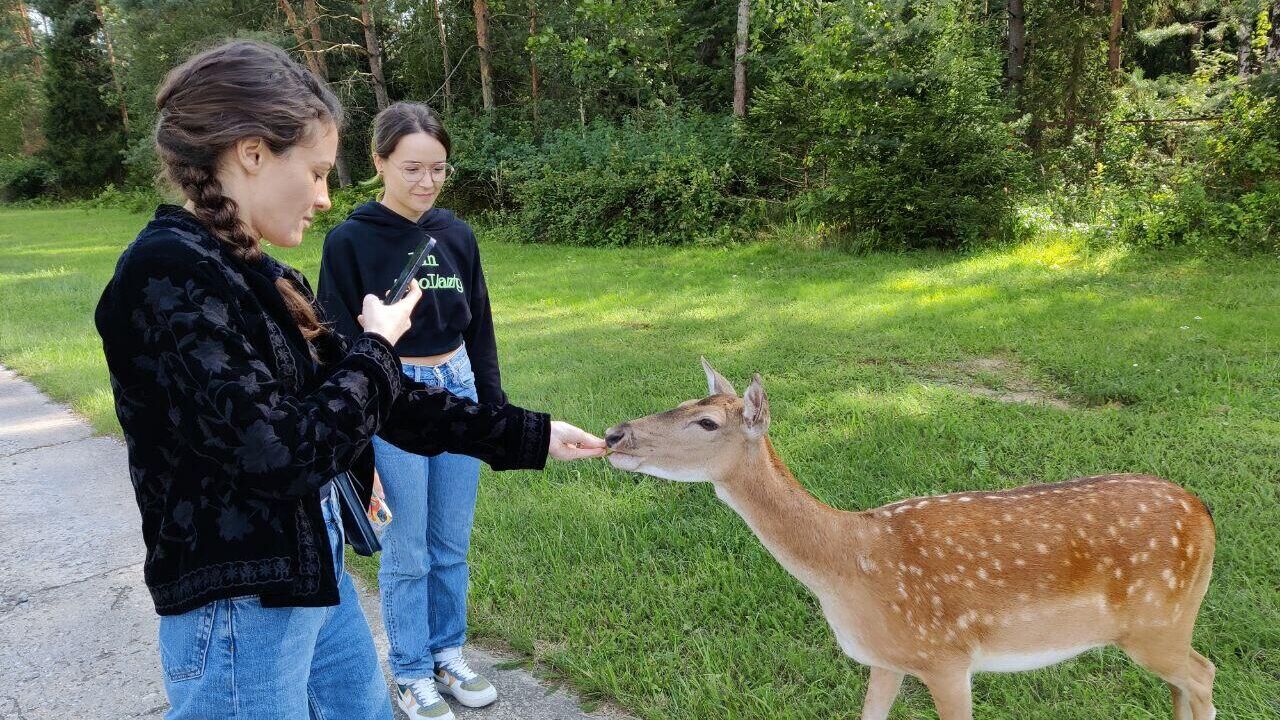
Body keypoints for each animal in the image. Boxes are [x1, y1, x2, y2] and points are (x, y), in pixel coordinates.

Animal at [604, 358, 1213, 717]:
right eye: (684, 402)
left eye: (707, 423)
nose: (613, 434)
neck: (849, 563)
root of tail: (1204, 515)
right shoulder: (886, 657)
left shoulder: (947, 657)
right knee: (1186, 681)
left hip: (1158, 622)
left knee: (1202, 674)